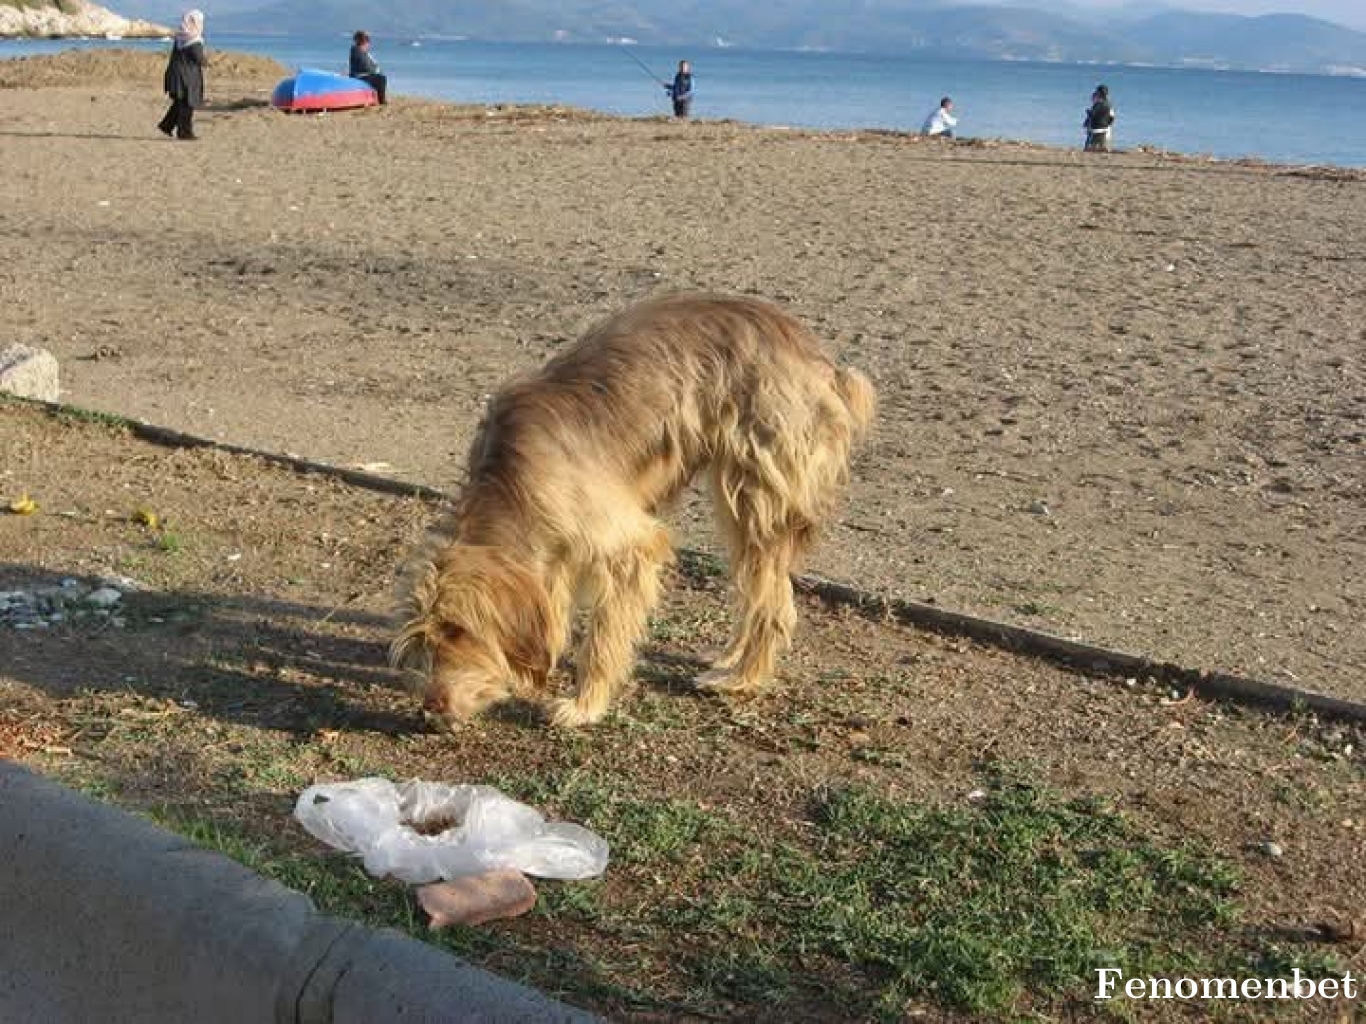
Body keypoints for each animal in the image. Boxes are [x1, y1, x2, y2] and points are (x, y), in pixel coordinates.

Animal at [393, 296, 874, 731]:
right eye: (424, 638)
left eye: (458, 630)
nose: (430, 709)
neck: (510, 483)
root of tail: (823, 363)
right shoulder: (556, 553)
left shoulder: (625, 545)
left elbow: (604, 637)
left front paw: (583, 705)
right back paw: (730, 655)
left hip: (757, 494)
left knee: (774, 601)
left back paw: (741, 677)